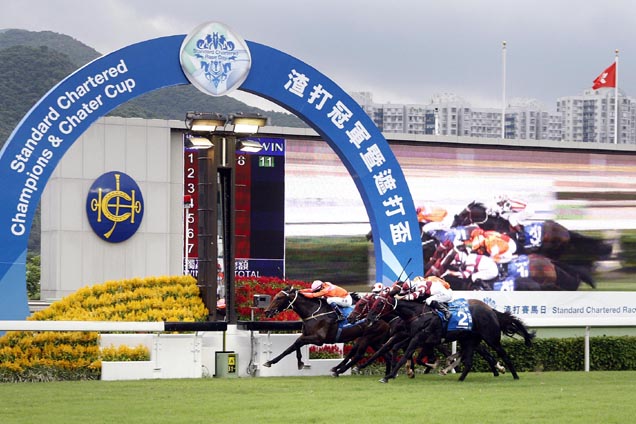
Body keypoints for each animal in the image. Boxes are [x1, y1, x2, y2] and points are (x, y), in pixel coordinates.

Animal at [260, 284, 390, 372]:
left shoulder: (318, 339)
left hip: (369, 337)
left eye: (279, 298)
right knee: (385, 352)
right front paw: (270, 362)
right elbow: (291, 347)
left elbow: (297, 342)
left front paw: (300, 362)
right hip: (373, 340)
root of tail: (383, 316)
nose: (267, 312)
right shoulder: (306, 335)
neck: (314, 312)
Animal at [366, 294, 536, 382]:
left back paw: (514, 375)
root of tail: (492, 311)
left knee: (503, 355)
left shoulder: (422, 339)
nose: (369, 318)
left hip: (491, 338)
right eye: (372, 303)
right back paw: (460, 377)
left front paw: (389, 376)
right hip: (470, 339)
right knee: (469, 360)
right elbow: (398, 349)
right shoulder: (415, 337)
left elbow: (407, 354)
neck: (418, 313)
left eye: (379, 303)